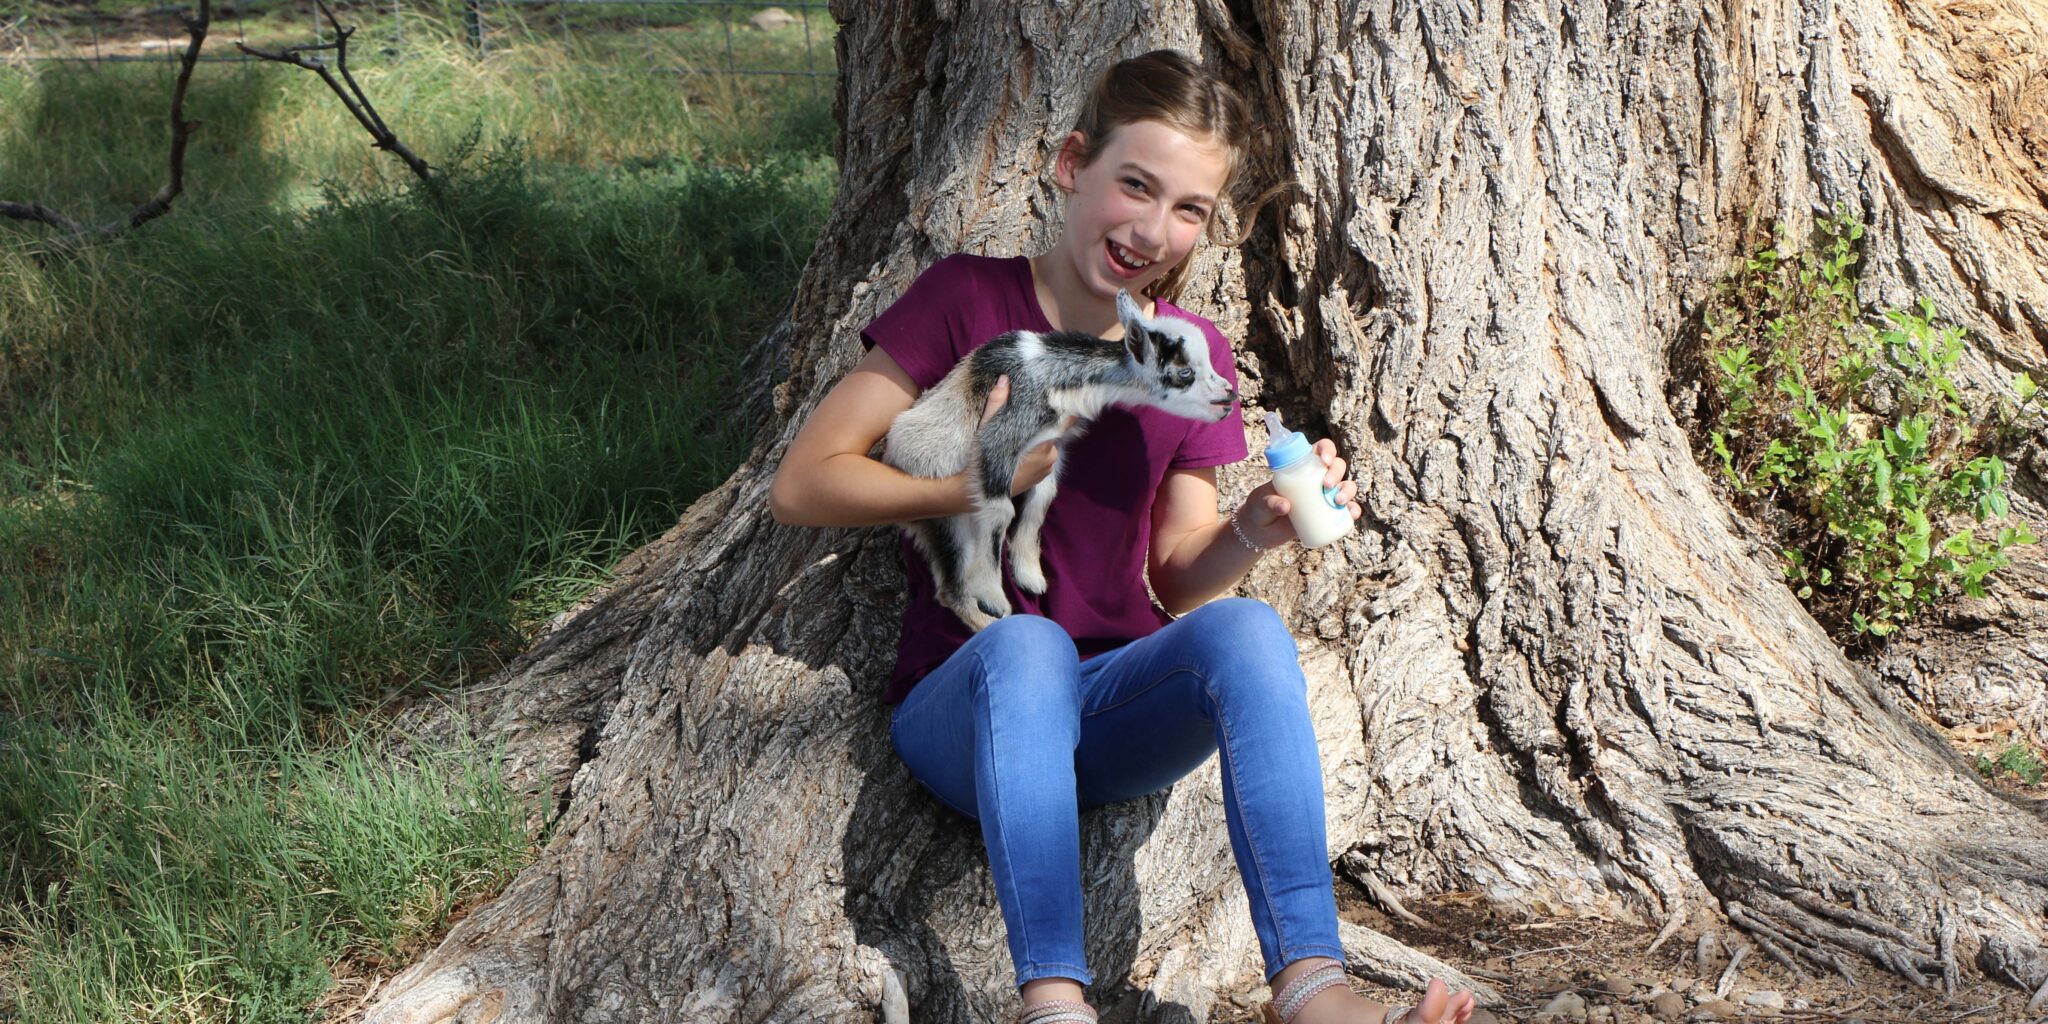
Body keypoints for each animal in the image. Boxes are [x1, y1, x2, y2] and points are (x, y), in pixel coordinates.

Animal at [880, 288, 1228, 630]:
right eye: (1184, 372)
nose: (1229, 397)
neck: (1054, 373)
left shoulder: (1051, 446)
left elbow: (1044, 496)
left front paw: (1029, 574)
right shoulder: (1003, 432)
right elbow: (1001, 509)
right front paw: (992, 595)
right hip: (944, 518)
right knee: (951, 587)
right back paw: (991, 617)